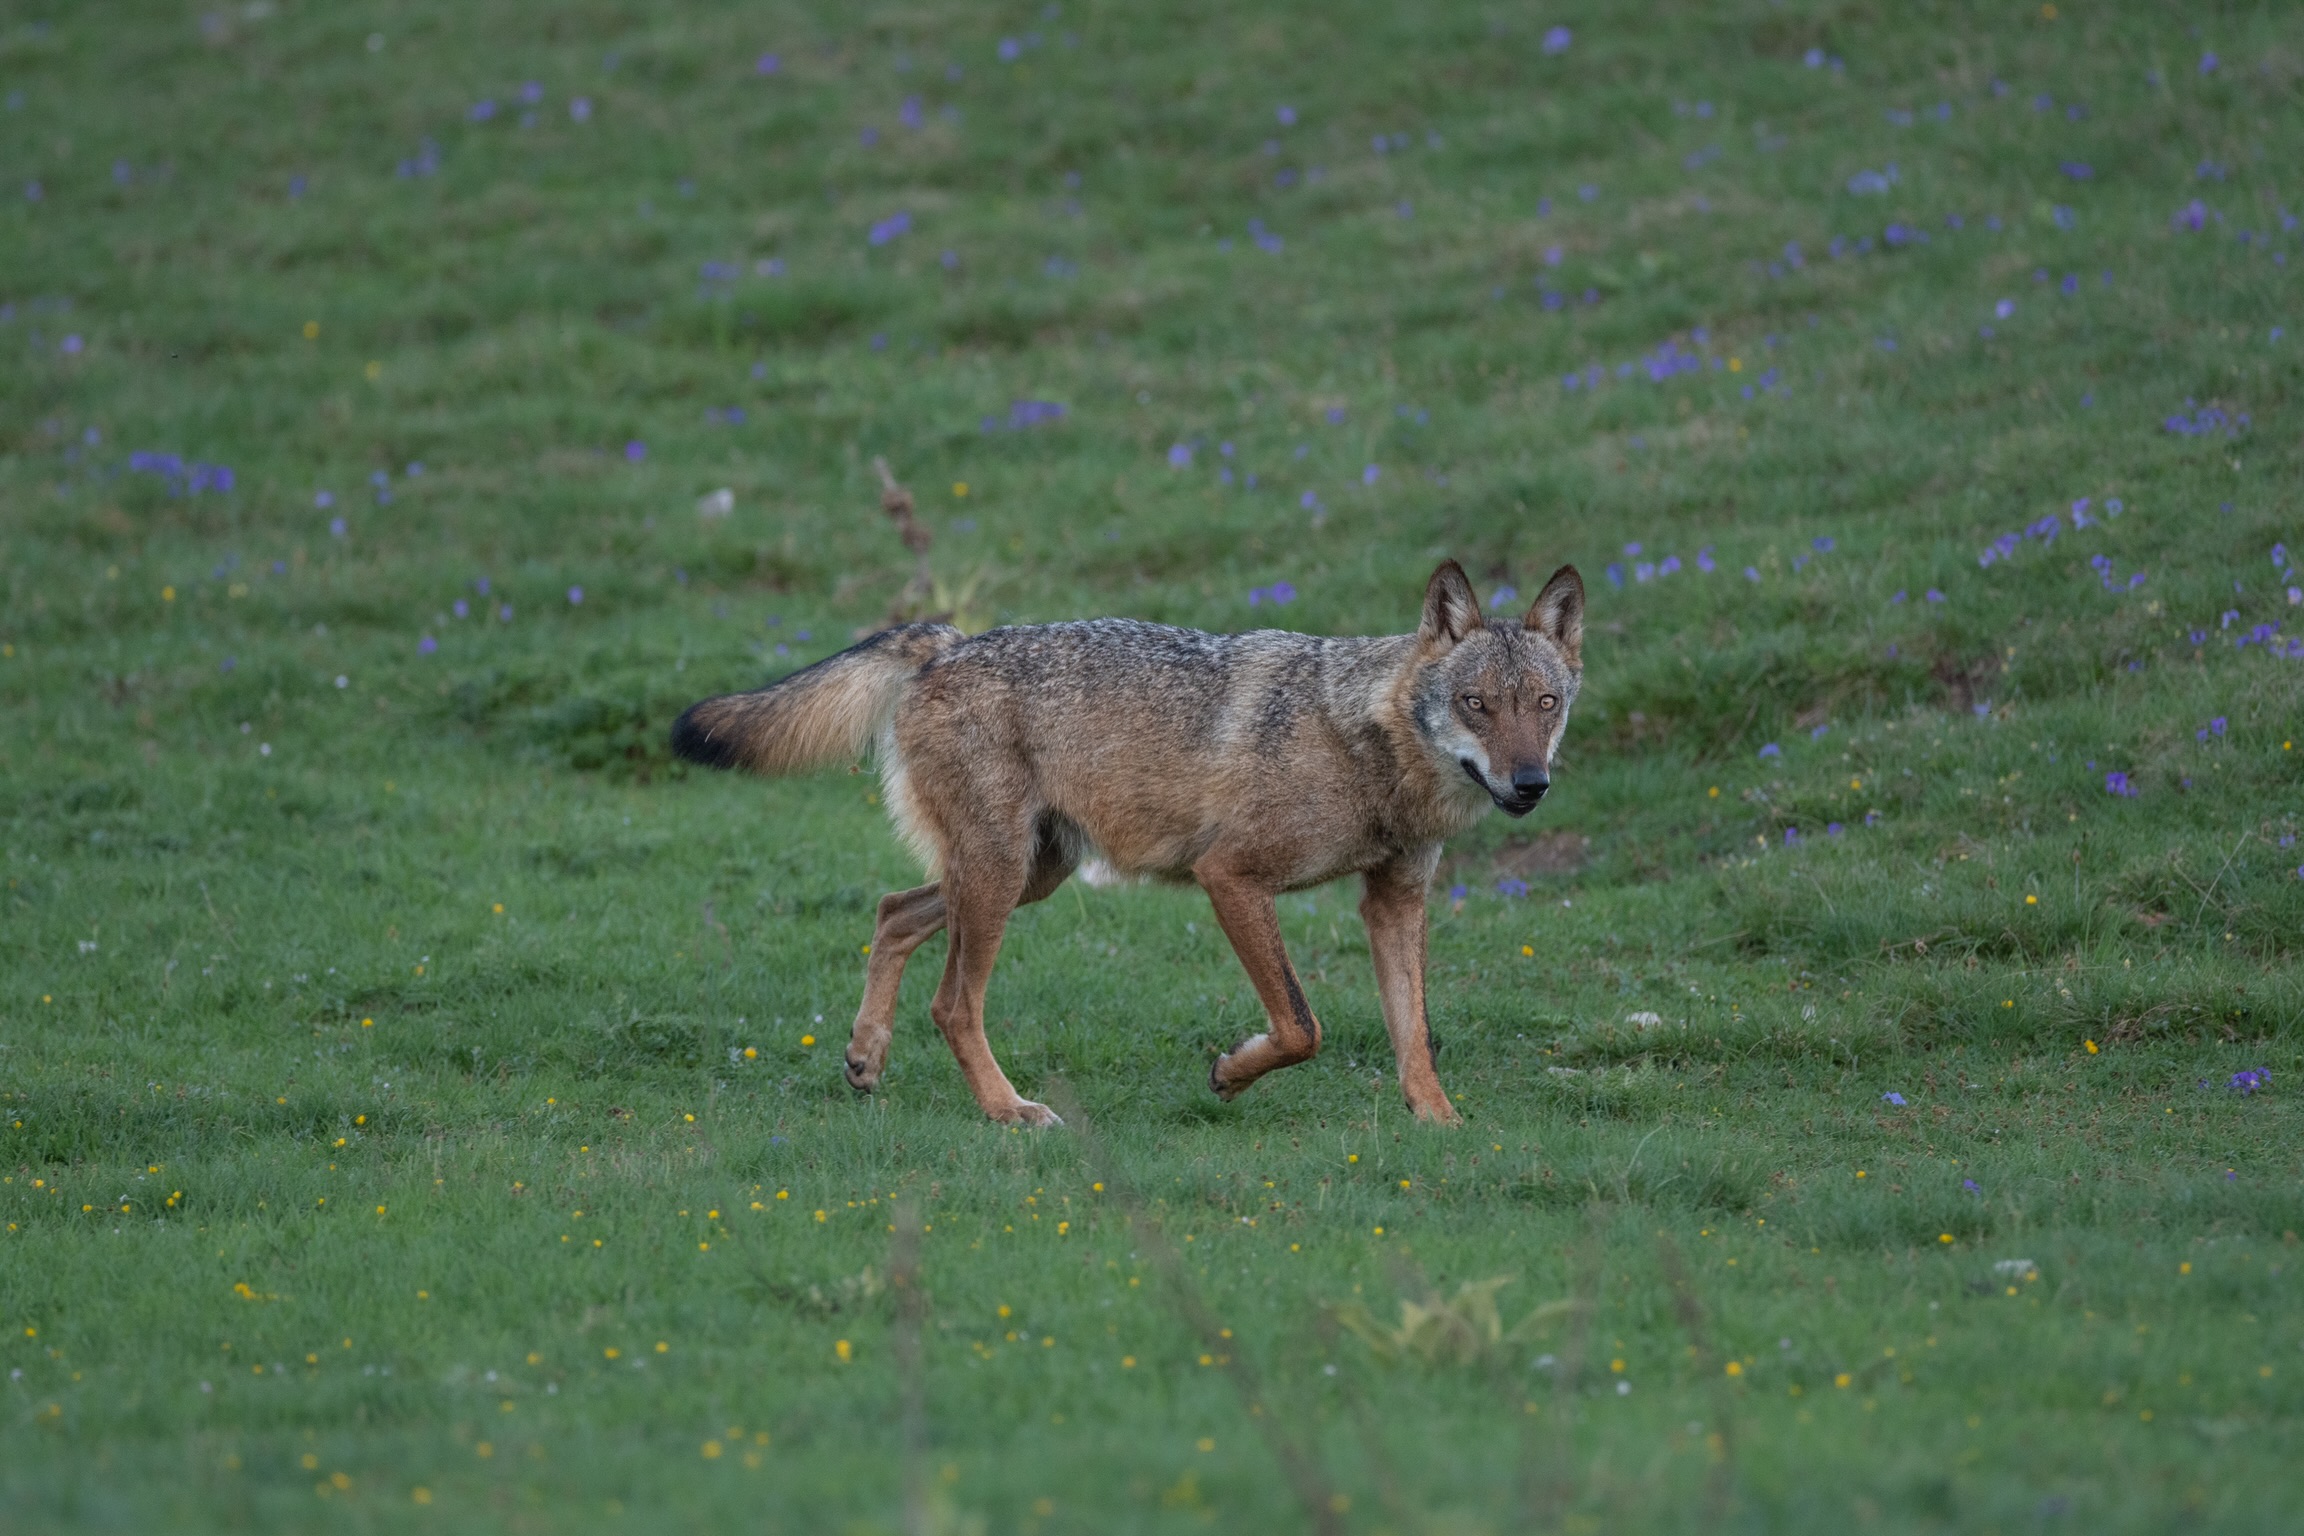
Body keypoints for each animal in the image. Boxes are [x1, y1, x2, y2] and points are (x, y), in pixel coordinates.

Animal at [670, 559, 1583, 1127]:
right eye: (1475, 704)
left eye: (1544, 704)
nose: (1530, 783)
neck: (1366, 747)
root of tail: (950, 641)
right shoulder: (1231, 877)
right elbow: (1302, 1026)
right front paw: (1229, 1073)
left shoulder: (1395, 900)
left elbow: (1413, 1036)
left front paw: (1442, 1123)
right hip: (1000, 880)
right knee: (952, 1003)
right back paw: (1007, 1111)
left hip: (1025, 876)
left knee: (893, 910)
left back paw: (866, 1059)